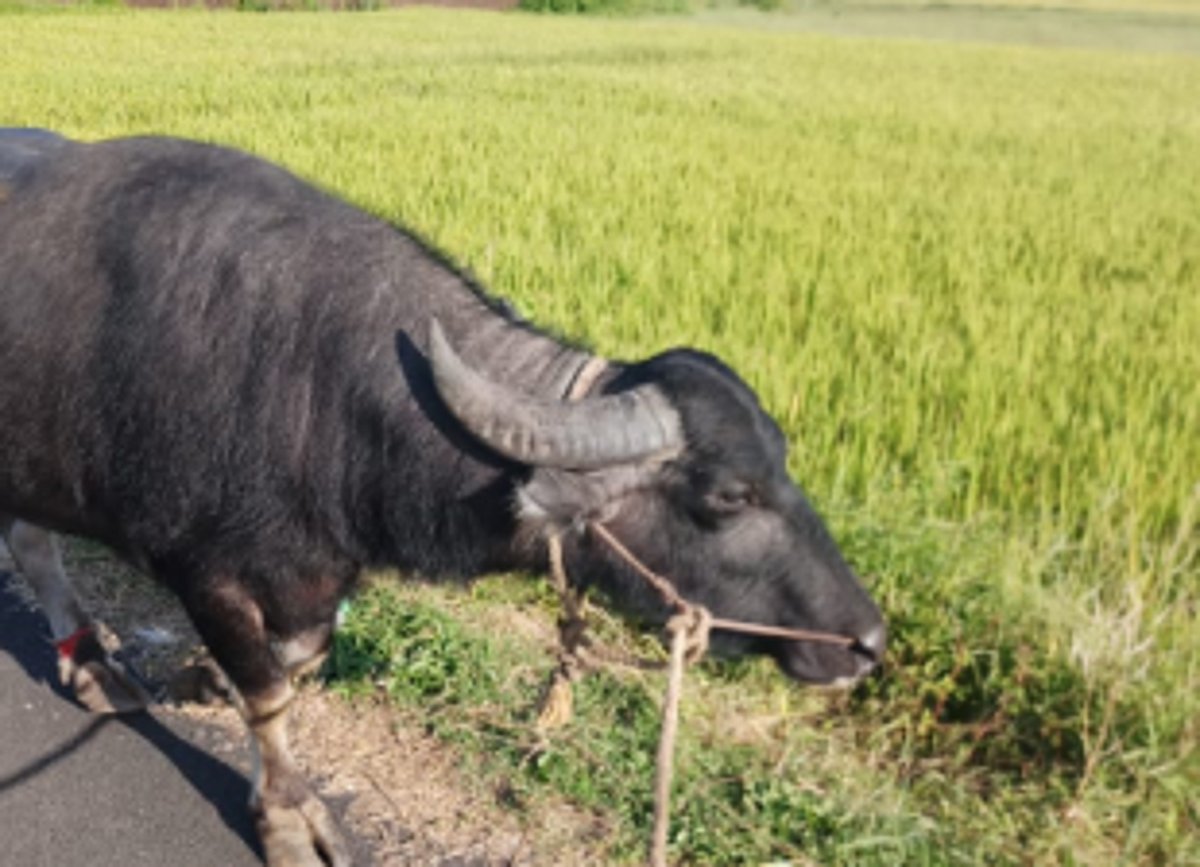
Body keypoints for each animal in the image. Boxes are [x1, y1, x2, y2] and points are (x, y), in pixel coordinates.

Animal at [0, 131, 886, 866]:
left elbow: (298, 656)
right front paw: (287, 817)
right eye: (729, 494)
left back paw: (89, 661)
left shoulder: (314, 574)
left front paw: (201, 678)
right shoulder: (203, 569)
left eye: (784, 460)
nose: (868, 641)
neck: (312, 380)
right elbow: (270, 693)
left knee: (31, 540)